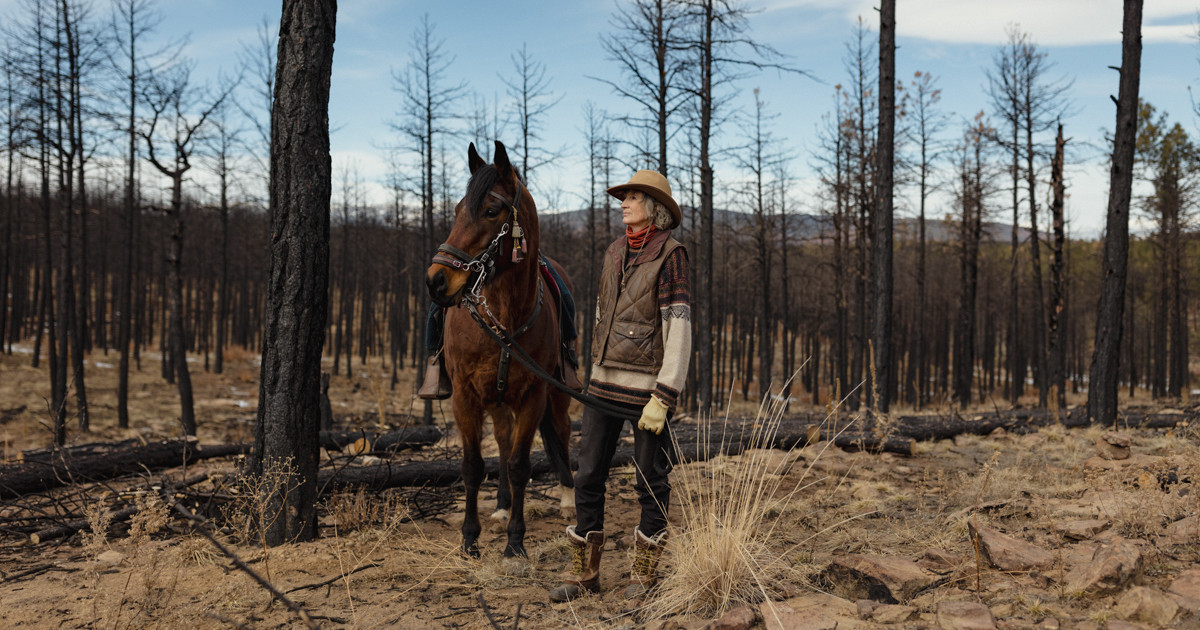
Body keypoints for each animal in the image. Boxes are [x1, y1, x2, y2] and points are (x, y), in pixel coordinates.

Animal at [424, 141, 573, 554]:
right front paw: (469, 538)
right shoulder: (465, 396)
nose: (436, 280)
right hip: (497, 400)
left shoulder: (534, 395)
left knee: (561, 431)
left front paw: (516, 541)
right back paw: (503, 505)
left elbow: (521, 465)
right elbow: (474, 466)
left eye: (491, 211)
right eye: (457, 209)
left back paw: (568, 498)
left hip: (556, 393)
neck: (503, 317)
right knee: (503, 444)